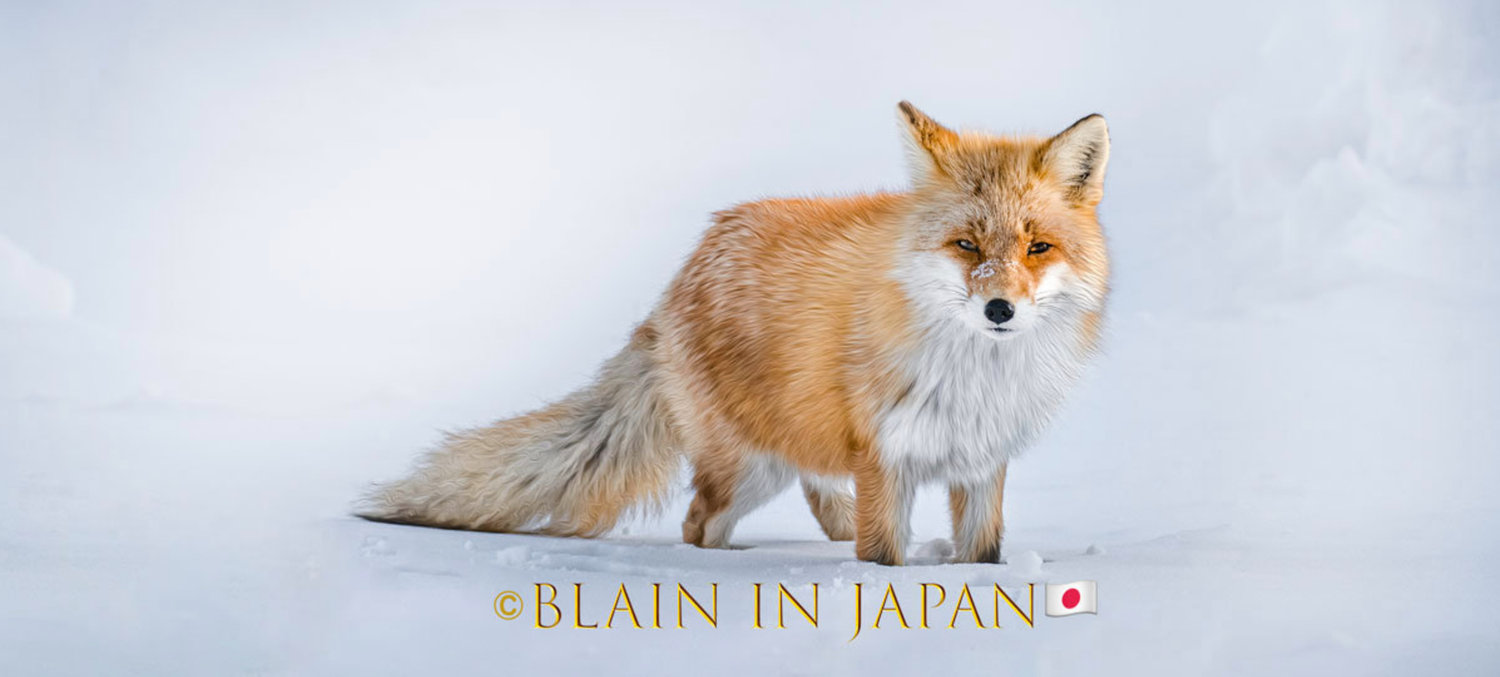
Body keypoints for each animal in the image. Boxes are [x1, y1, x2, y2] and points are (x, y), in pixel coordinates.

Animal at [359, 102, 1111, 565]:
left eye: (1038, 247)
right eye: (965, 245)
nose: (999, 309)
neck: (976, 377)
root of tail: (686, 268)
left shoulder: (981, 465)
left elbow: (981, 555)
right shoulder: (886, 459)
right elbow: (881, 559)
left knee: (816, 492)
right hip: (747, 470)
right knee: (699, 522)